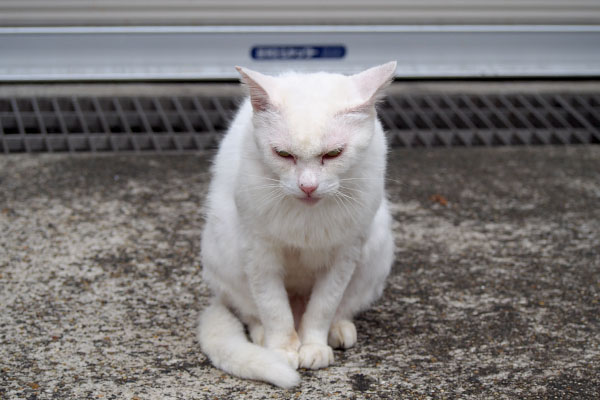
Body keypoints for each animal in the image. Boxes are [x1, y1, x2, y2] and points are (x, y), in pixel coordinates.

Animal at [198, 61, 398, 388]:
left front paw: (314, 346)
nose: (308, 186)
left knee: (339, 307)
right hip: (224, 246)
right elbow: (273, 308)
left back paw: (338, 330)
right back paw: (264, 339)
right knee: (251, 312)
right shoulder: (260, 254)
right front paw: (283, 349)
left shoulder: (345, 254)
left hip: (376, 246)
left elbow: (324, 306)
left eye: (333, 153)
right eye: (283, 154)